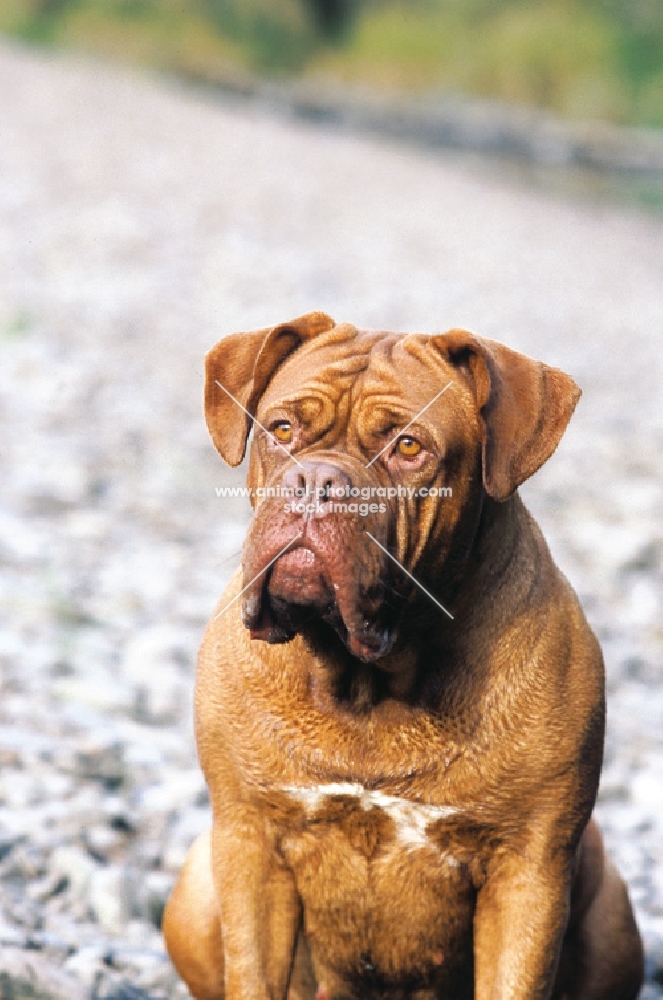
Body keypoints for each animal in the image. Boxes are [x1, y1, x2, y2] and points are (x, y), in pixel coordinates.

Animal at [163, 314, 644, 1000]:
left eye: (409, 448)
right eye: (281, 431)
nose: (316, 482)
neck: (367, 680)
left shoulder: (528, 870)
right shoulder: (250, 843)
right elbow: (252, 971)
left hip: (608, 909)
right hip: (196, 886)